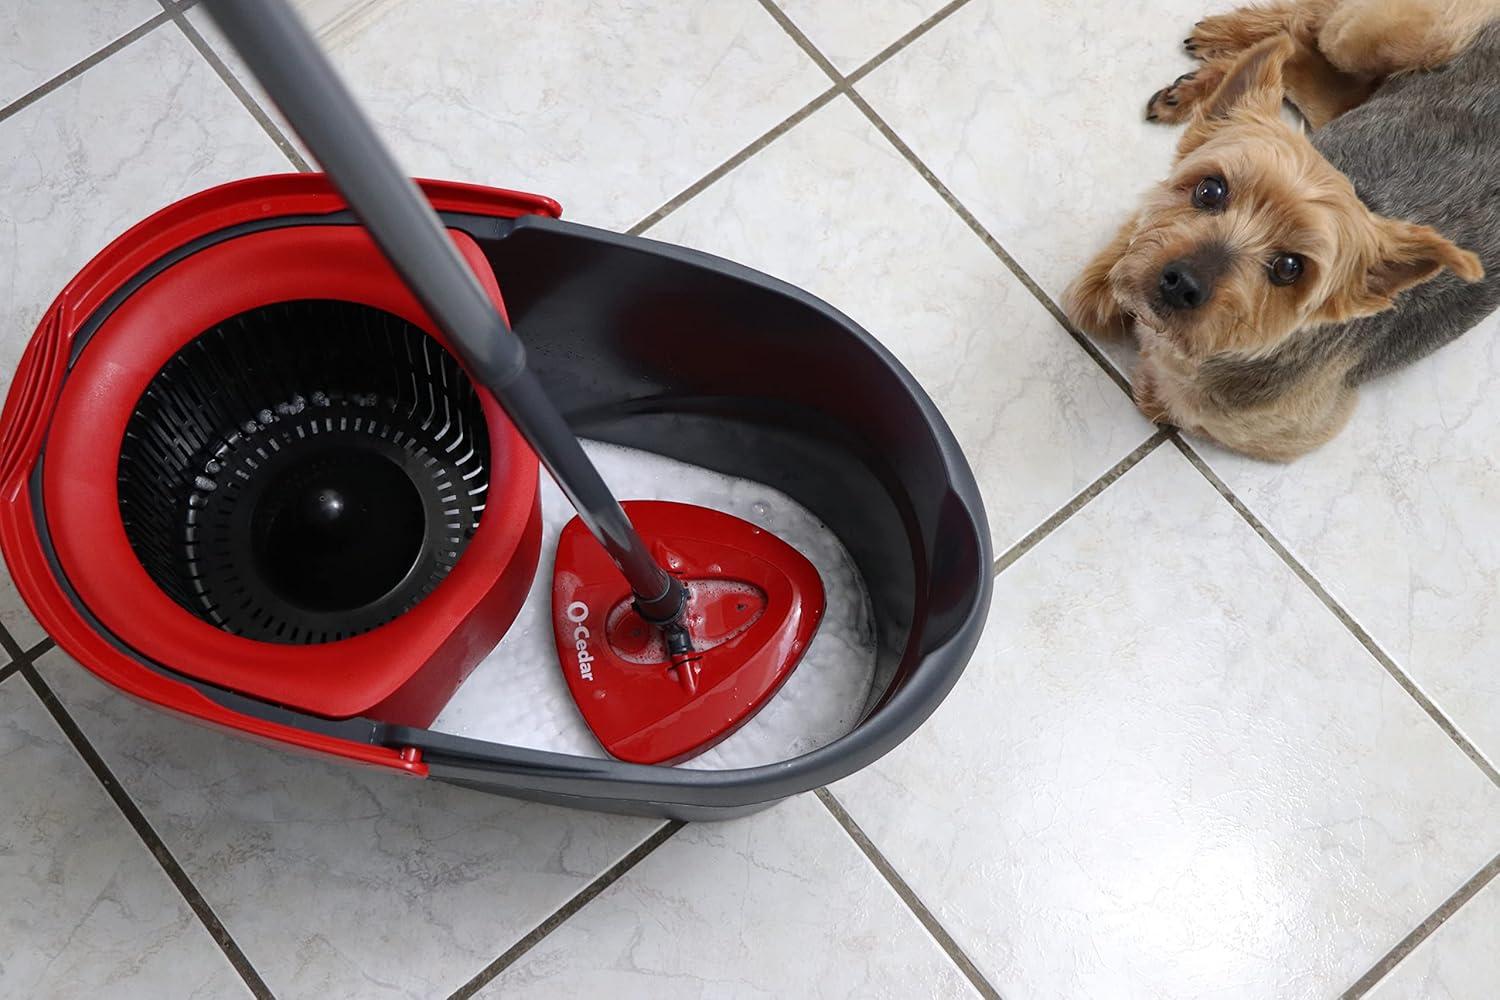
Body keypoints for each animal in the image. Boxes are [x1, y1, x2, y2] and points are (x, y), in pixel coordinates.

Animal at [1062, 0, 1500, 461]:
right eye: (1209, 189)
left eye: (1289, 267)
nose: (1182, 284)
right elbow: (1094, 288)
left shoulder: (1279, 431)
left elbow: (1169, 400)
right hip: (1373, 39)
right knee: (1304, 28)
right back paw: (1214, 61)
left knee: (1299, 45)